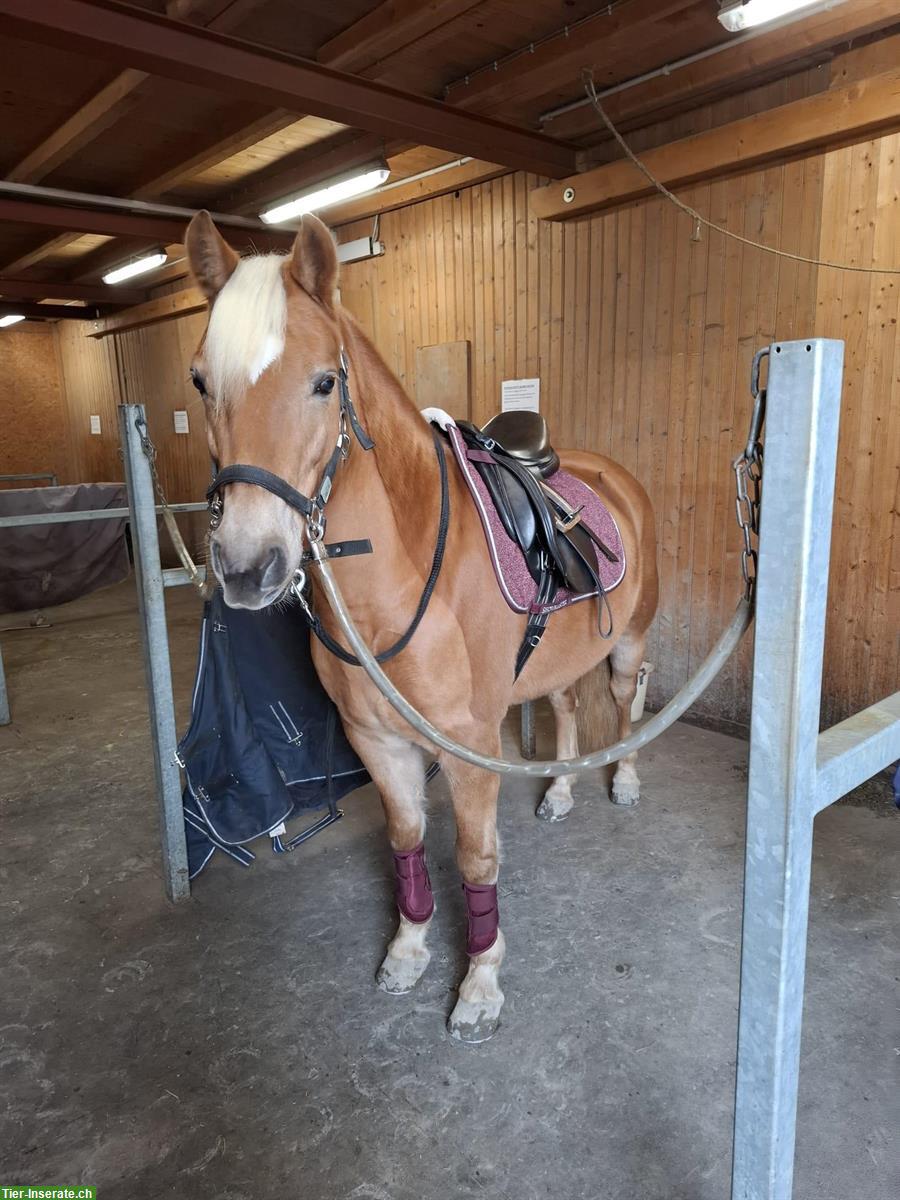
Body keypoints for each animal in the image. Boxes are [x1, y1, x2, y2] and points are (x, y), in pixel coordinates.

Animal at [187, 213, 657, 1041]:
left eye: (325, 382)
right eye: (201, 382)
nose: (247, 566)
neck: (399, 586)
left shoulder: (467, 747)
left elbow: (474, 858)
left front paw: (479, 986)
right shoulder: (375, 741)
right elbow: (406, 839)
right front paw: (407, 951)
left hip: (627, 643)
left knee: (627, 702)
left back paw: (622, 781)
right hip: (557, 660)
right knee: (569, 705)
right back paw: (561, 792)